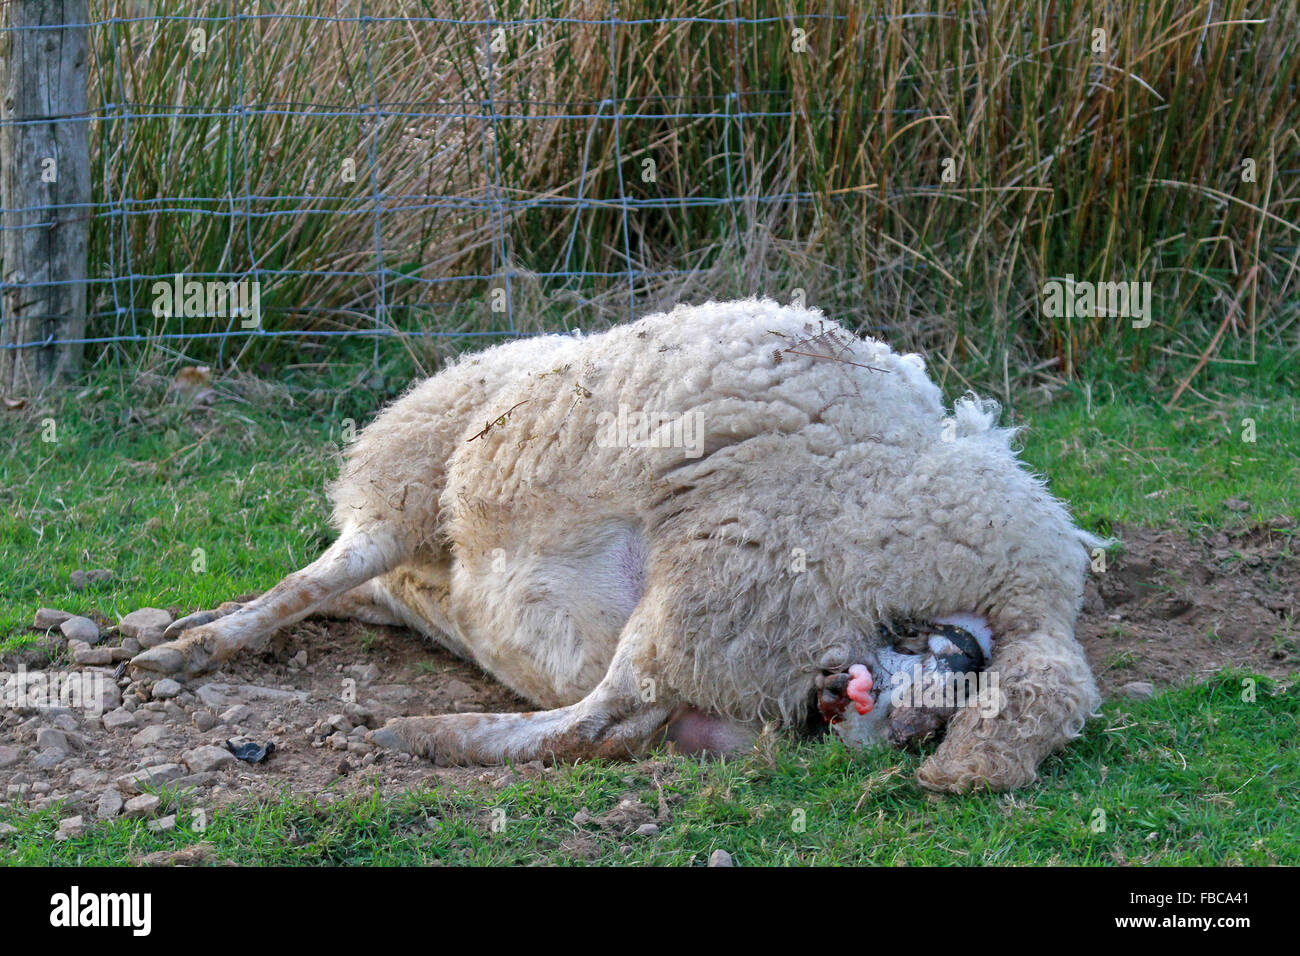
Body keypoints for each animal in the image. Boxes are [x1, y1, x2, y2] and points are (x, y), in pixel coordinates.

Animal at [131, 299, 1102, 790]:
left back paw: (420, 735)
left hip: (725, 569)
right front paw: (188, 628)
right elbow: (336, 590)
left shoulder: (406, 496)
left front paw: (189, 647)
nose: (958, 656)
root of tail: (1031, 599)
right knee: (630, 720)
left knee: (600, 722)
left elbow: (313, 578)